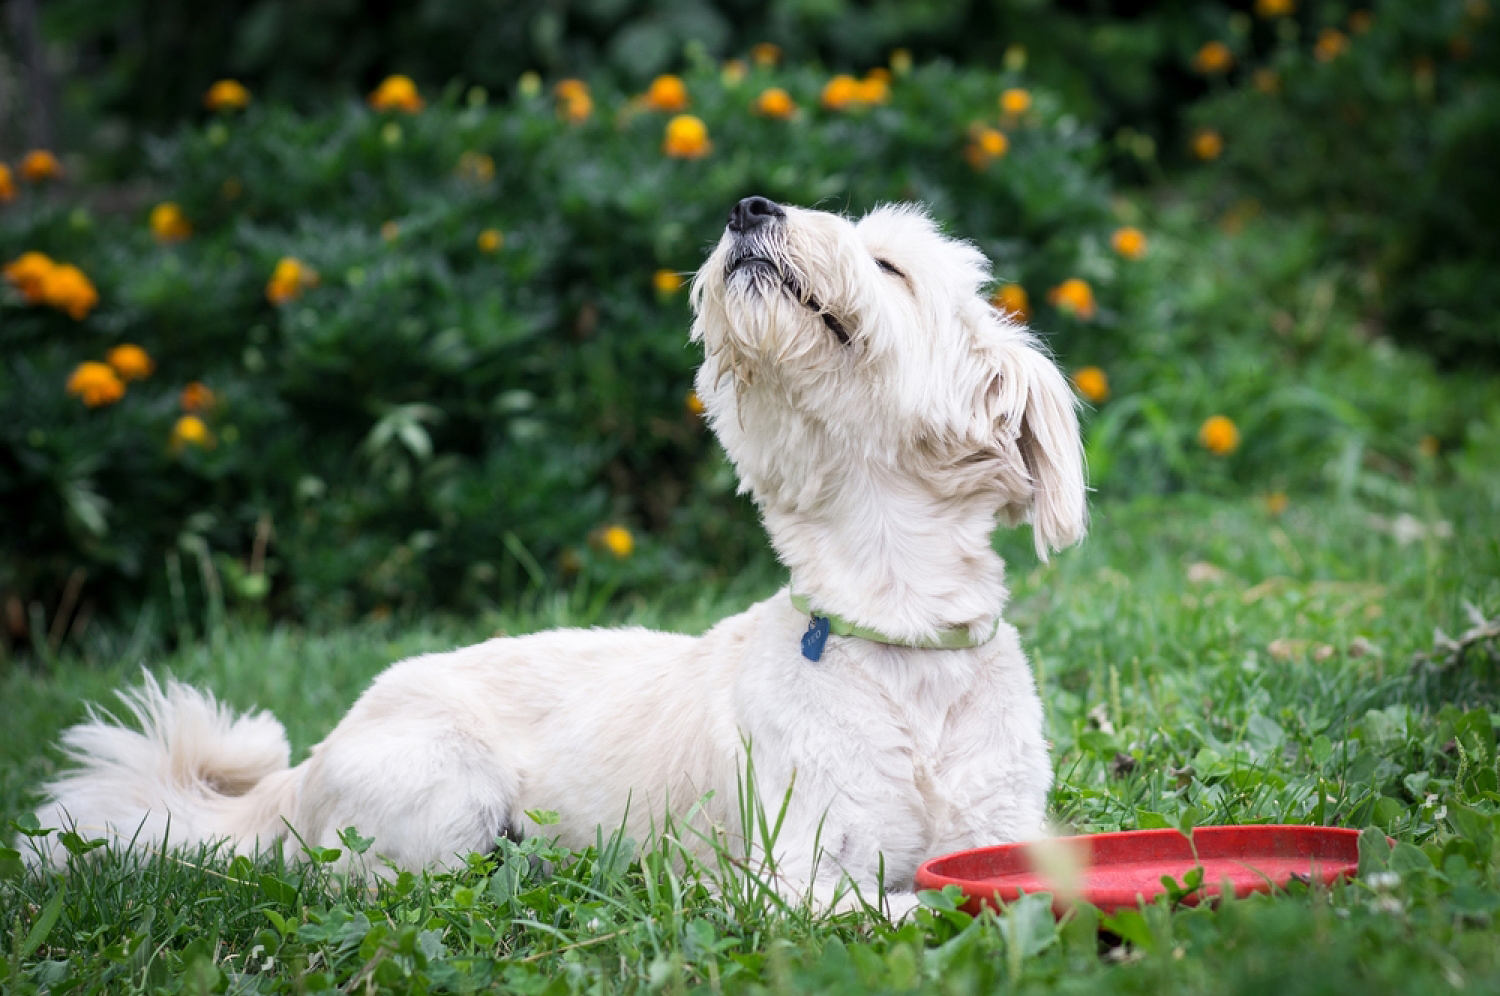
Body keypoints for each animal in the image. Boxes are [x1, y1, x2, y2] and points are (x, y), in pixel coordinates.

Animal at [23, 198, 1086, 912]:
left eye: (889, 264)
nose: (749, 207)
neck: (897, 644)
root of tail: (305, 767)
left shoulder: (1005, 831)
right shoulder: (792, 877)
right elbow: (906, 901)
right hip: (443, 793)